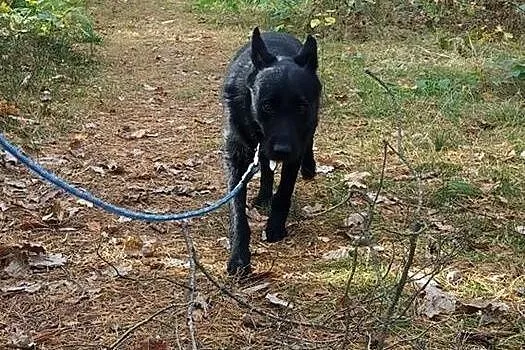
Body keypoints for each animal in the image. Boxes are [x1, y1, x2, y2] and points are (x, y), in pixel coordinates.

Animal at [220, 26, 320, 276]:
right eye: (267, 106)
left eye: (301, 107)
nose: (282, 150)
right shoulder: (237, 158)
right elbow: (237, 212)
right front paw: (239, 256)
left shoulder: (295, 149)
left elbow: (284, 192)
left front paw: (275, 226)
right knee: (266, 167)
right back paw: (264, 195)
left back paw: (309, 167)